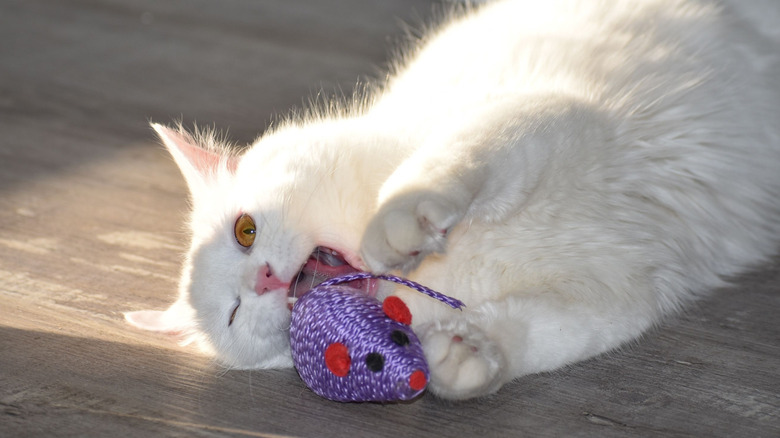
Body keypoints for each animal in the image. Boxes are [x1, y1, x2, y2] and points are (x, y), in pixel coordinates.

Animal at [125, 0, 776, 400]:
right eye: (234, 314)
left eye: (246, 231)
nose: (262, 279)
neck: (460, 268)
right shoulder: (614, 299)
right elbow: (533, 338)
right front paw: (464, 359)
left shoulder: (538, 117)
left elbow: (449, 164)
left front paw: (398, 227)